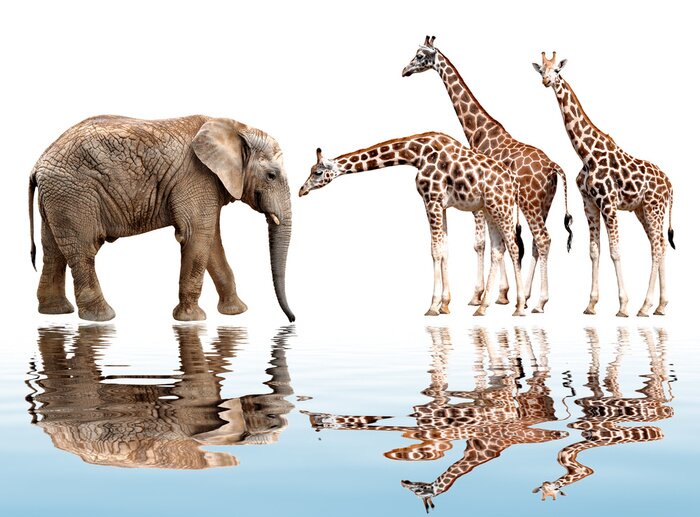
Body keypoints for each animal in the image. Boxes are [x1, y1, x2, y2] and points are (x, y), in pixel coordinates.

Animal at [28, 115, 294, 322]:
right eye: (271, 175)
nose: (291, 320)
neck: (237, 128)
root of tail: (38, 163)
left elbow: (211, 242)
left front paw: (236, 313)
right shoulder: (196, 177)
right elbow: (196, 235)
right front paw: (192, 320)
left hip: (57, 198)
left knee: (53, 250)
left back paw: (55, 312)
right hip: (73, 194)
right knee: (84, 250)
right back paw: (102, 318)